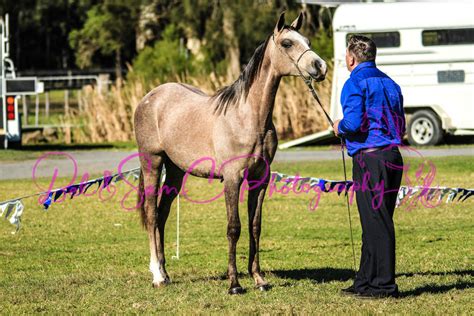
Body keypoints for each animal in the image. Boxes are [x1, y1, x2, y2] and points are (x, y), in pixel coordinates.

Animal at [133, 11, 326, 294]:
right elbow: (233, 227)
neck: (249, 117)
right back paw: (157, 275)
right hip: (153, 162)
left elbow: (255, 226)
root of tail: (150, 97)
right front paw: (234, 284)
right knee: (150, 212)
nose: (320, 66)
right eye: (287, 43)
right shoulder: (233, 178)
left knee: (162, 214)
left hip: (176, 171)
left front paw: (258, 279)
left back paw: (166, 273)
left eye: (308, 40)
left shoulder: (260, 179)